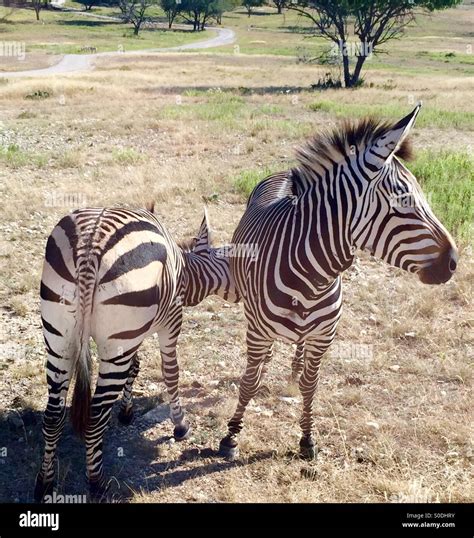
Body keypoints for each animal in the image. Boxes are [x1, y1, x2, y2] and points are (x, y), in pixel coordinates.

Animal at [34, 204, 239, 498]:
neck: (183, 271)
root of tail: (91, 246)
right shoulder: (170, 321)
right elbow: (171, 374)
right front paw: (180, 425)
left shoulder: (134, 336)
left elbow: (136, 366)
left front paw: (127, 411)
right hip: (113, 337)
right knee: (95, 417)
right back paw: (97, 483)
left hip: (60, 338)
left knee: (53, 414)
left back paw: (44, 482)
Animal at [218, 102, 456, 458]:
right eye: (404, 203)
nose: (454, 263)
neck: (312, 278)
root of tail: (284, 173)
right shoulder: (258, 333)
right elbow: (249, 381)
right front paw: (232, 435)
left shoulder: (324, 336)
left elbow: (310, 384)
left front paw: (307, 439)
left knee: (298, 352)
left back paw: (292, 370)